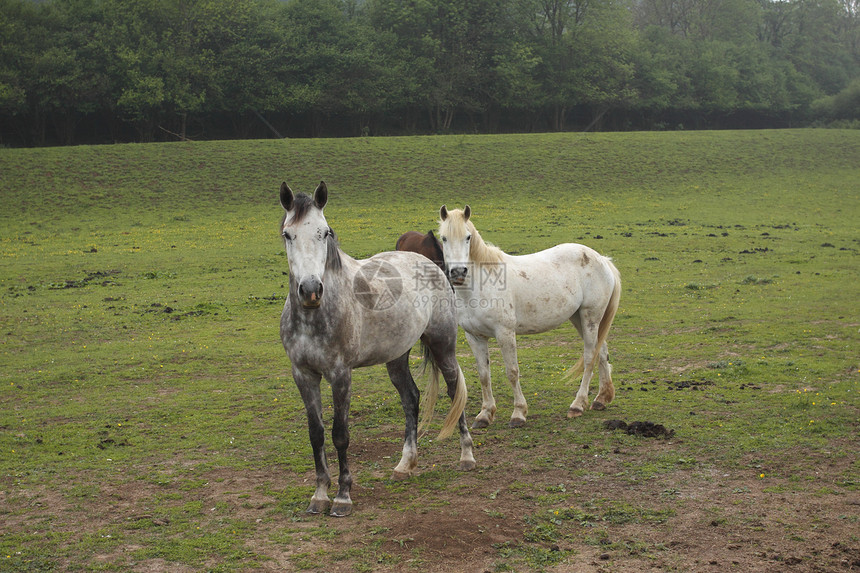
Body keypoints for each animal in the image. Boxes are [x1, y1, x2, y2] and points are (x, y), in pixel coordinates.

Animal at [278, 181, 474, 516]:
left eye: (325, 232)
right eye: (288, 234)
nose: (311, 290)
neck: (315, 315)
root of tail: (432, 265)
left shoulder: (340, 375)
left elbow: (340, 435)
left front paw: (342, 496)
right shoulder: (303, 375)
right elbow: (316, 434)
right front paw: (319, 494)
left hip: (443, 347)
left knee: (453, 392)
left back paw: (466, 456)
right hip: (396, 358)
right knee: (411, 399)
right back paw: (405, 464)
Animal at [436, 204, 620, 424]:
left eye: (468, 237)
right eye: (444, 238)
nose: (458, 273)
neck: (483, 283)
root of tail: (602, 259)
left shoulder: (505, 333)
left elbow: (512, 372)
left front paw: (518, 413)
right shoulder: (475, 337)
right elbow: (483, 375)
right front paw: (485, 414)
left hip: (590, 317)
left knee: (590, 356)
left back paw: (577, 405)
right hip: (579, 319)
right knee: (602, 351)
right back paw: (601, 399)